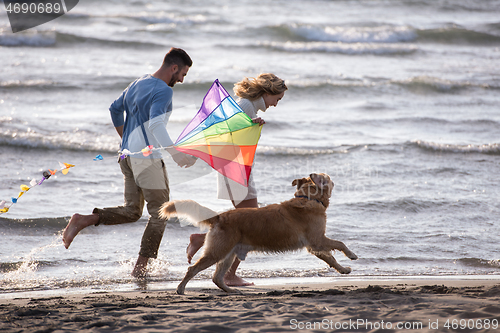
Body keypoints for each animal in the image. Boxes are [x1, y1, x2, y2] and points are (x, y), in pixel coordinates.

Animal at [159, 171, 356, 294]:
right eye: (326, 177)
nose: (328, 177)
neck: (308, 199)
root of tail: (220, 216)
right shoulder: (318, 240)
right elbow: (339, 243)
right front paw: (351, 255)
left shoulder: (313, 245)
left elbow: (331, 258)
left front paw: (343, 269)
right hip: (217, 251)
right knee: (193, 269)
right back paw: (181, 289)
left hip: (228, 254)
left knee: (216, 277)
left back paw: (231, 290)